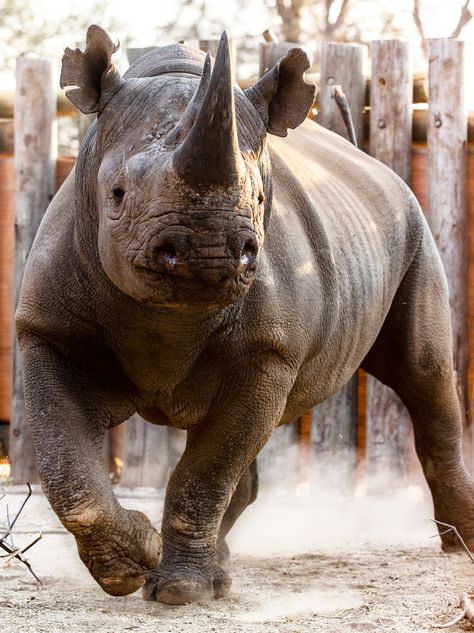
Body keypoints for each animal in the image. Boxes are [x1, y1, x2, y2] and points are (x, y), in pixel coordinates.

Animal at [16, 27, 474, 604]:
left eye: (258, 198)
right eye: (116, 195)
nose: (210, 252)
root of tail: (374, 163)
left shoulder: (268, 351)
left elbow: (207, 472)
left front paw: (179, 591)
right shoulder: (48, 332)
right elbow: (66, 467)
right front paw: (131, 566)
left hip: (414, 227)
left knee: (425, 373)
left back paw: (460, 544)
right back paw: (219, 563)